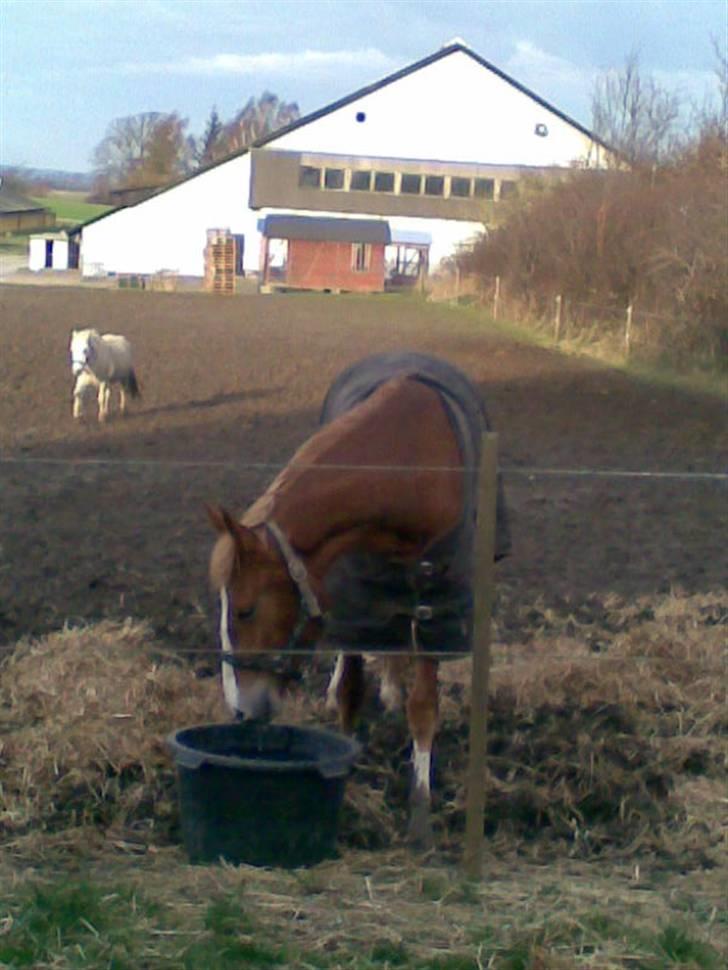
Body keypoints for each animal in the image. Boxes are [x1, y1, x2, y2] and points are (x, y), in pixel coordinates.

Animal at [208, 352, 510, 844]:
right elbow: (352, 689)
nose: (238, 710)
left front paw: (420, 814)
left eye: (245, 609)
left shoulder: (435, 608)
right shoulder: (353, 598)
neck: (409, 467)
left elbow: (423, 708)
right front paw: (345, 768)